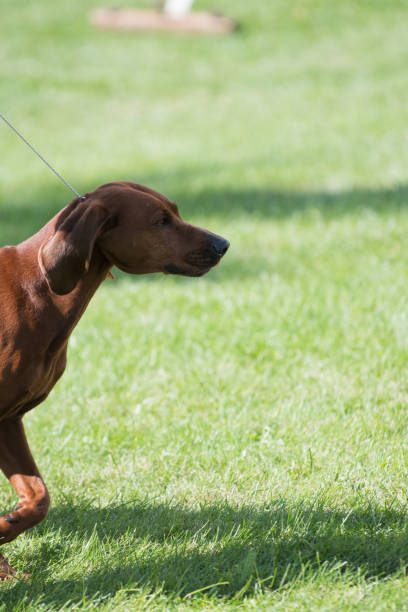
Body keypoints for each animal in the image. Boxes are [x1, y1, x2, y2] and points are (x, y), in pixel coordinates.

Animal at [0, 182, 230, 580]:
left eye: (176, 212)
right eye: (160, 221)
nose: (223, 244)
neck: (37, 289)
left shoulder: (9, 421)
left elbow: (39, 497)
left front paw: (6, 541)